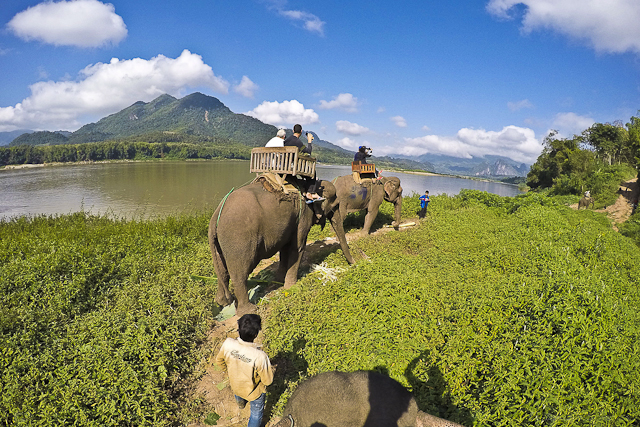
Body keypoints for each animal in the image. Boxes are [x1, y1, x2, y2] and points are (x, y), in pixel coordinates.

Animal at [208, 179, 352, 316]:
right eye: (335, 205)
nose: (353, 264)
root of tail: (215, 218)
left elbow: (284, 249)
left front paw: (278, 281)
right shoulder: (303, 216)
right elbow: (297, 247)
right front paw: (290, 287)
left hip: (220, 243)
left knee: (222, 271)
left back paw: (223, 302)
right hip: (239, 240)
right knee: (240, 273)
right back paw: (249, 310)